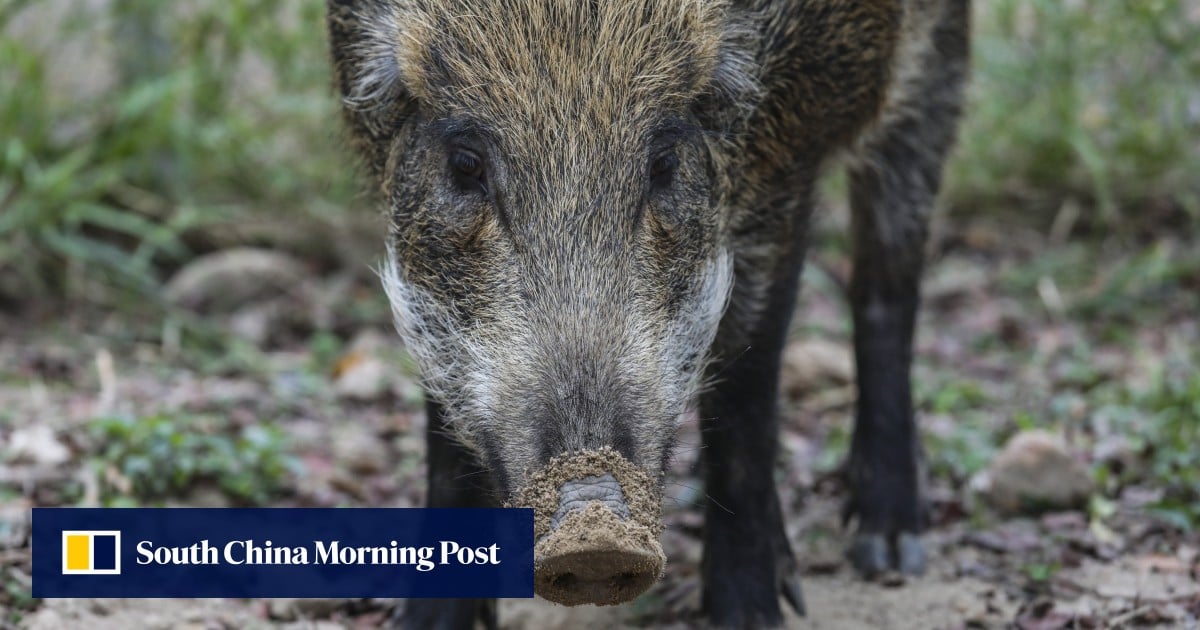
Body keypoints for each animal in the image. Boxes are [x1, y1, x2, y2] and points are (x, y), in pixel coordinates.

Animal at [326, 0, 969, 627]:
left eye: (663, 164)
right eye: (464, 164)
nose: (592, 535)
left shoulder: (789, 160)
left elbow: (747, 383)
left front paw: (751, 616)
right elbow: (441, 408)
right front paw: (423, 623)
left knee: (888, 283)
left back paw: (890, 550)